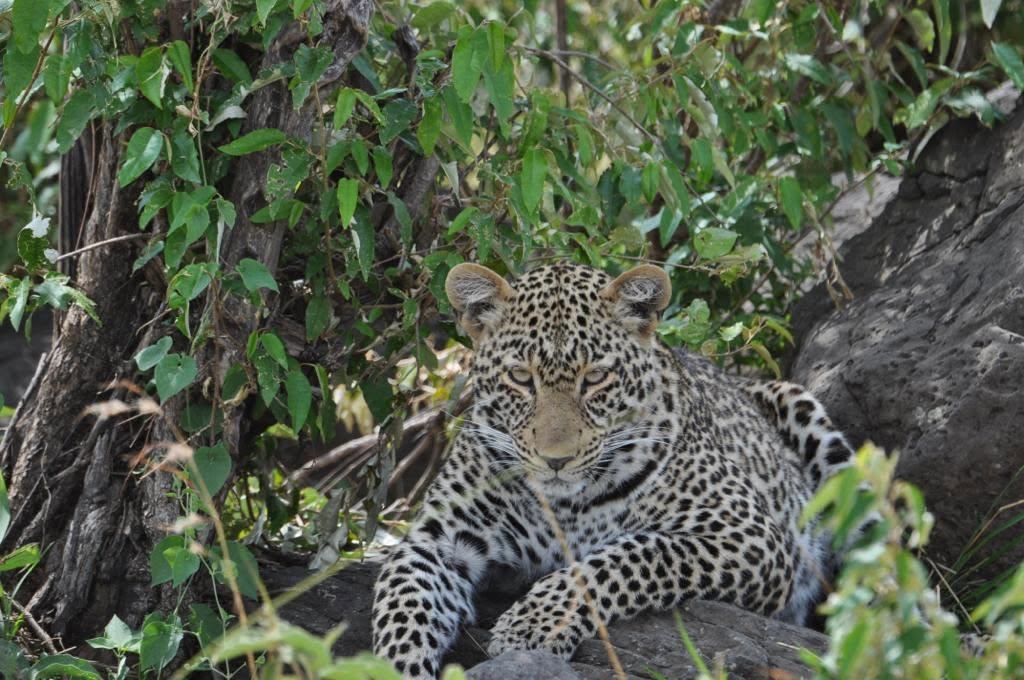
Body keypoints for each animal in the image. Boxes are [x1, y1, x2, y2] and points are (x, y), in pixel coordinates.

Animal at [371, 262, 857, 679]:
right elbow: (402, 607)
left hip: (813, 423)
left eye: (595, 378)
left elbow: (622, 558)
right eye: (521, 378)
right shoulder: (434, 541)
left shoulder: (748, 533)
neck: (563, 506)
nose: (556, 459)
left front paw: (531, 625)